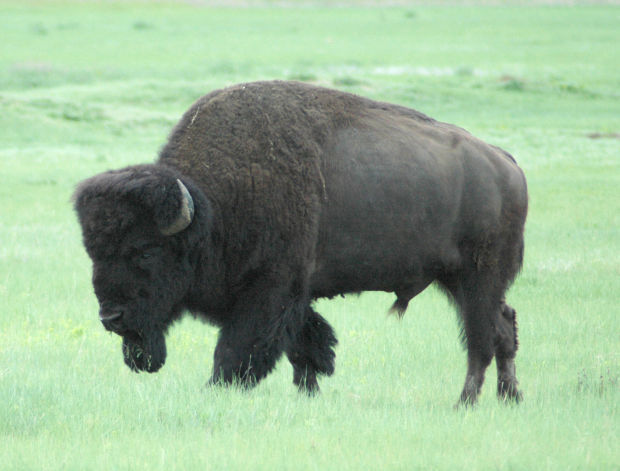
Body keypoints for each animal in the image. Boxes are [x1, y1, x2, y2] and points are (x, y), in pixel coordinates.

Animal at [72, 81, 528, 406]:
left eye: (145, 250)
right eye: (92, 252)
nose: (111, 317)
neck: (214, 207)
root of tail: (507, 164)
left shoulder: (270, 290)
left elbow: (237, 351)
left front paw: (215, 390)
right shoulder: (294, 297)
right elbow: (308, 346)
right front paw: (308, 394)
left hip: (477, 277)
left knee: (480, 339)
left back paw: (465, 403)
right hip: (458, 279)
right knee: (504, 327)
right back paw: (510, 398)